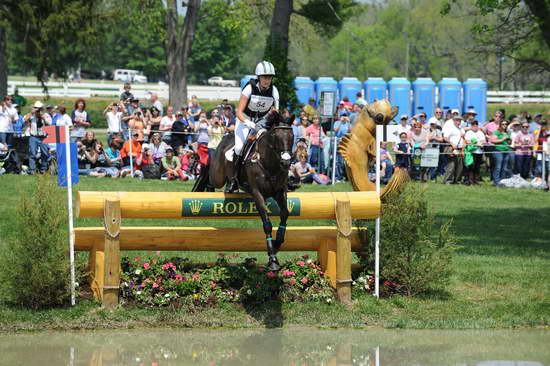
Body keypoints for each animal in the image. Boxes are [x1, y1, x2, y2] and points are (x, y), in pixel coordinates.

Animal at [195, 110, 298, 270]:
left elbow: (285, 214)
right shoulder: (257, 193)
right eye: (276, 136)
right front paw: (272, 259)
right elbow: (267, 224)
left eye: (292, 136)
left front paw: (277, 243)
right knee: (209, 177)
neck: (269, 163)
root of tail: (225, 137)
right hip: (217, 176)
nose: (286, 162)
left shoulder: (280, 192)